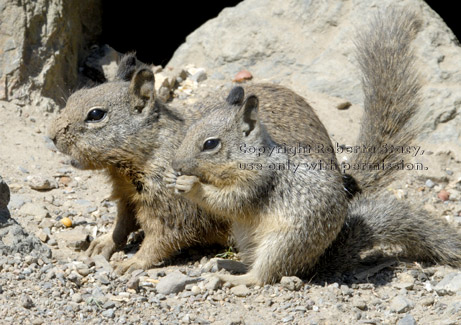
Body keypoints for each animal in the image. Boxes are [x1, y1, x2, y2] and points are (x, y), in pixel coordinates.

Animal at [48, 54, 348, 272]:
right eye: (73, 98)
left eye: (96, 115)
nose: (51, 136)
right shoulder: (126, 198)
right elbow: (121, 226)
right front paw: (103, 244)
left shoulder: (171, 211)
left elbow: (159, 241)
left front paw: (133, 262)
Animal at [165, 8, 460, 284]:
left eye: (210, 144)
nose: (176, 164)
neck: (252, 157)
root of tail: (314, 264)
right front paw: (172, 178)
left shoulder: (258, 182)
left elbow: (229, 201)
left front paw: (191, 185)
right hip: (246, 238)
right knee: (254, 262)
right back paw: (229, 264)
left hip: (283, 243)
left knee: (266, 274)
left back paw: (236, 278)